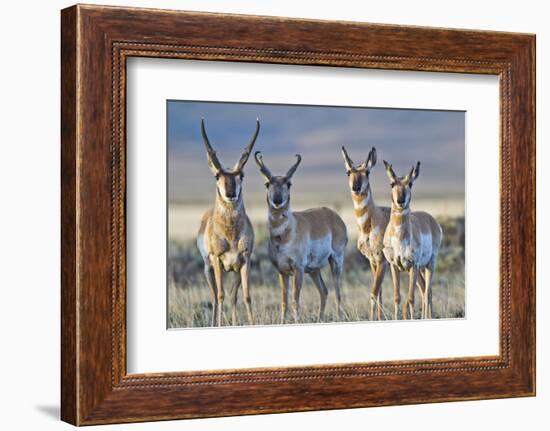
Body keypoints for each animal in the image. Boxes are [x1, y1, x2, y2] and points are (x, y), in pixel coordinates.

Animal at [196, 119, 260, 328]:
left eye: (242, 175)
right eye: (217, 176)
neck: (231, 234)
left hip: (233, 271)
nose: (231, 194)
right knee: (215, 297)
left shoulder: (245, 261)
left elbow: (246, 296)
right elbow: (220, 295)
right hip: (209, 269)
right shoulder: (217, 261)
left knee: (233, 296)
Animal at [256, 150, 350, 322]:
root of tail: (333, 215)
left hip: (335, 262)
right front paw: (282, 322)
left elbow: (295, 299)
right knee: (324, 291)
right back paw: (320, 319)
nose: (277, 200)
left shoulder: (298, 270)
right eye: (267, 184)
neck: (284, 236)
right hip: (313, 270)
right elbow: (284, 301)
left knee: (338, 291)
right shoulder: (282, 272)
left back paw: (339, 317)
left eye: (289, 184)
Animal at [340, 148, 392, 320]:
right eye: (348, 172)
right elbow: (379, 292)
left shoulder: (381, 261)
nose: (356, 187)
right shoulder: (372, 261)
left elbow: (373, 293)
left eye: (367, 172)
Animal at [384, 160, 444, 318]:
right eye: (392, 183)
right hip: (421, 270)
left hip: (429, 264)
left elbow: (411, 298)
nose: (400, 200)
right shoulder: (394, 266)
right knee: (425, 291)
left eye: (410, 183)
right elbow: (397, 297)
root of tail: (431, 220)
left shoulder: (413, 265)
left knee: (428, 292)